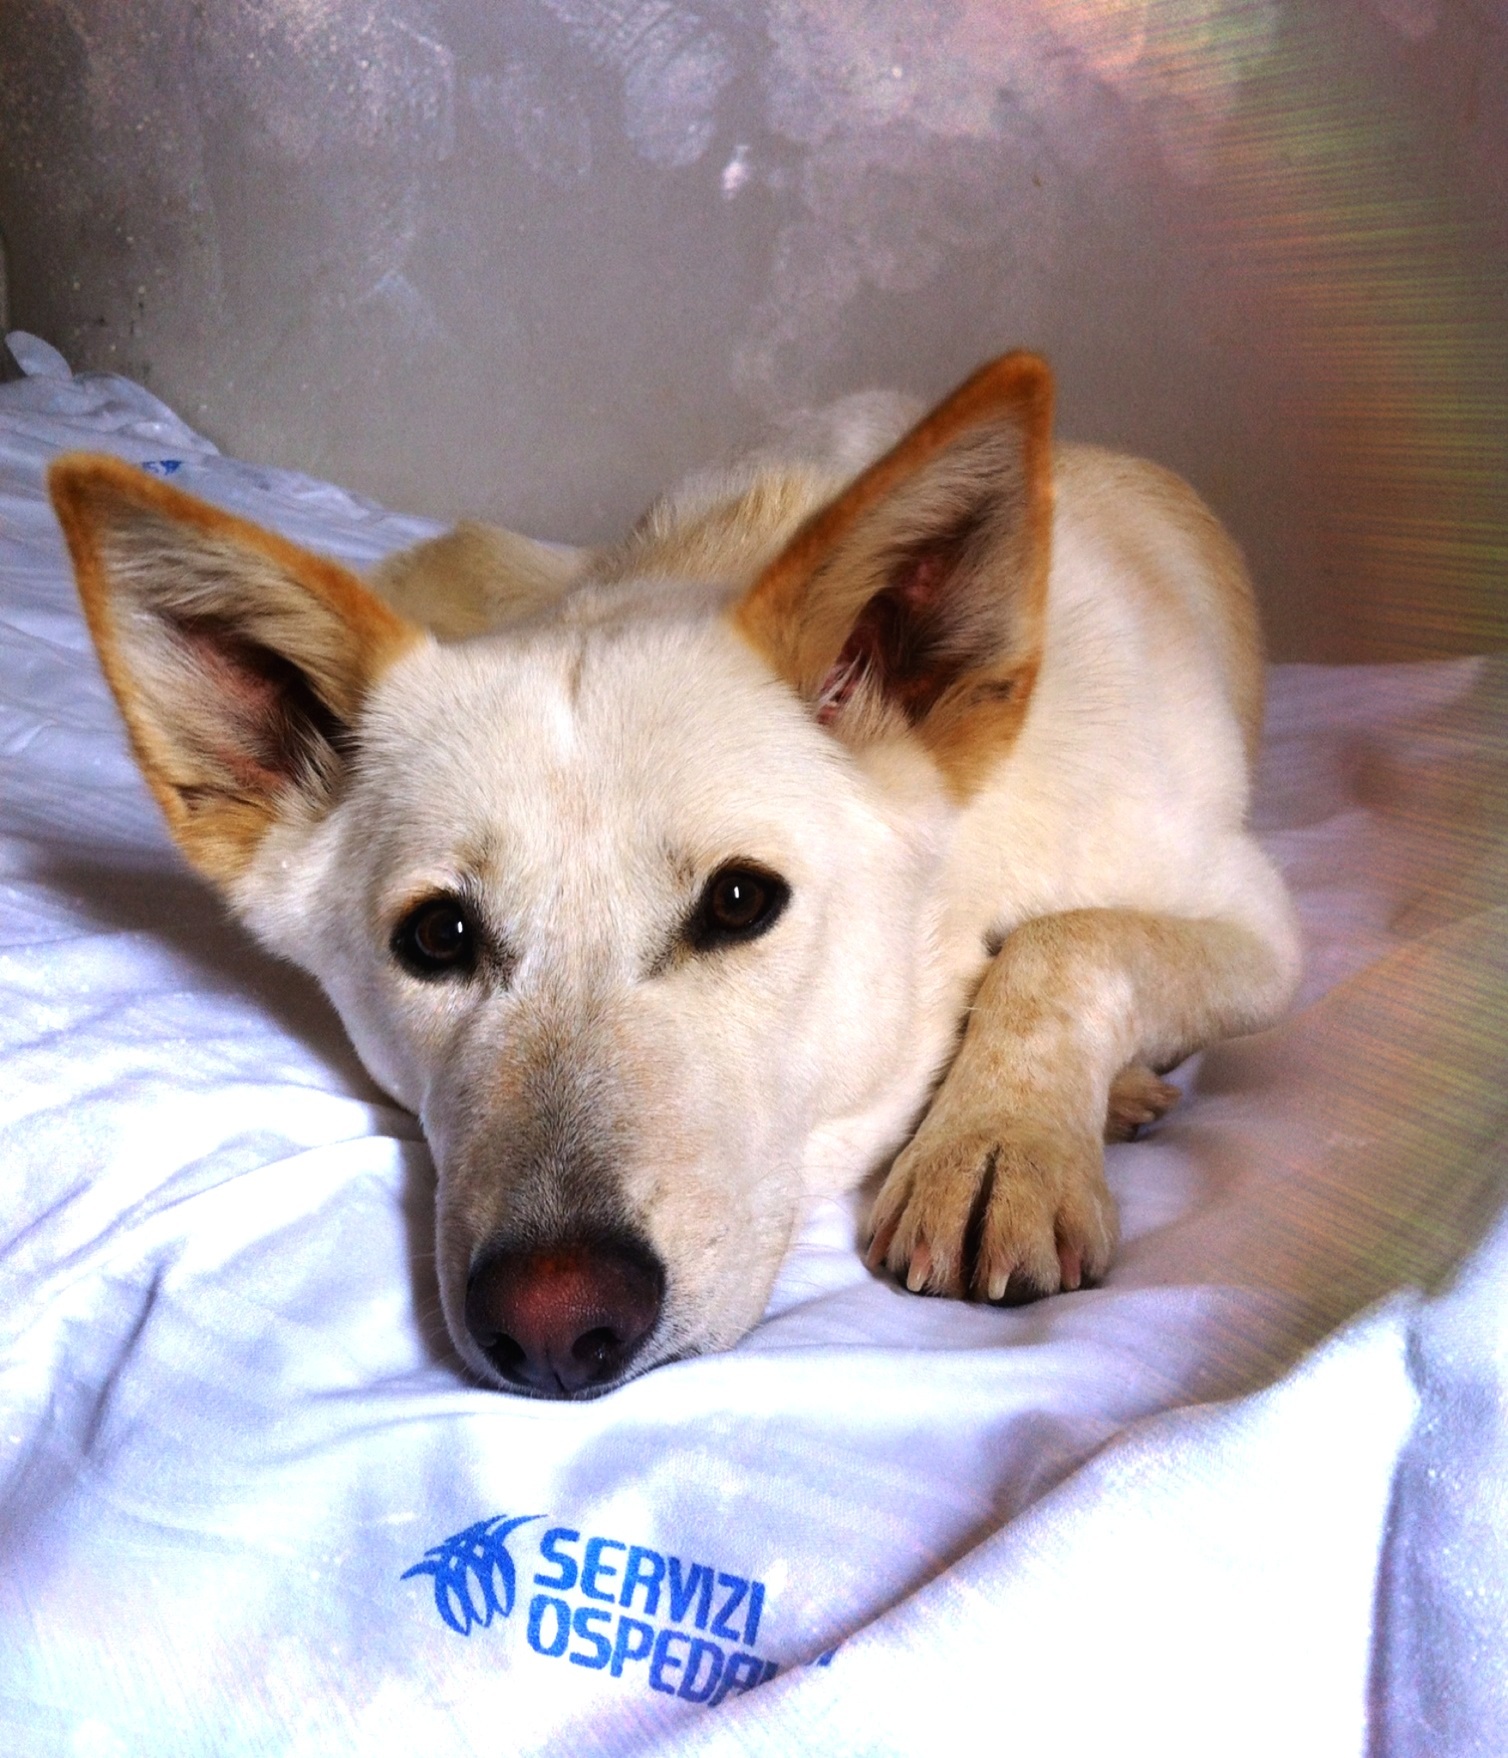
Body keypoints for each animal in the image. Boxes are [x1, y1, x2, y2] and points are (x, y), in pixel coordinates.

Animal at [47, 356, 1293, 1399]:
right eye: (437, 937)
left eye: (739, 903)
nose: (552, 1327)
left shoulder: (1261, 928)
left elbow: (1065, 943)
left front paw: (999, 1140)